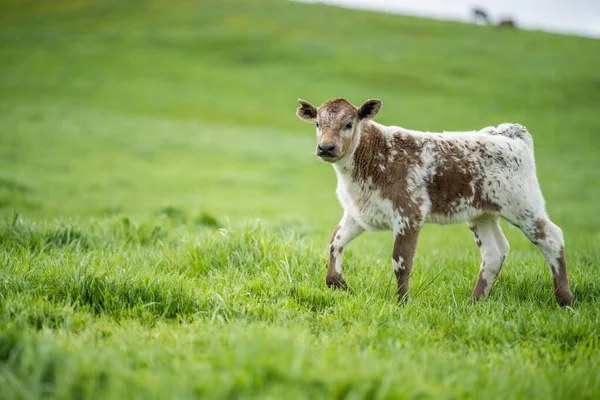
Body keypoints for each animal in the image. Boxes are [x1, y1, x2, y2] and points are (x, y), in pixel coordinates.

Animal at [298, 97, 576, 306]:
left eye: (348, 124)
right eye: (318, 123)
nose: (326, 147)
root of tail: (510, 135)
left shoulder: (409, 213)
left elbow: (401, 261)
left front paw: (402, 302)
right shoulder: (359, 212)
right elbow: (335, 240)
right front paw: (338, 283)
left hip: (524, 205)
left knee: (552, 238)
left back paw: (565, 300)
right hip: (481, 214)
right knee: (494, 251)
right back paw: (475, 302)